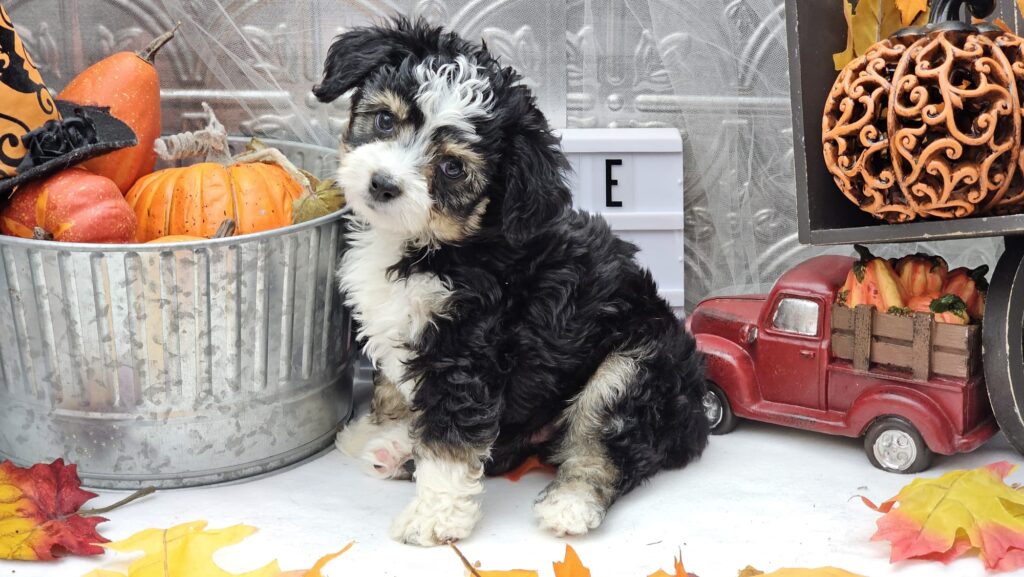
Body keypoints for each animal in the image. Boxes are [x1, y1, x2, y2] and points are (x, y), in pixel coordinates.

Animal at [315, 16, 708, 545]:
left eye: (452, 168)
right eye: (384, 121)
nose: (382, 184)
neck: (436, 244)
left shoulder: (467, 348)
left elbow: (452, 436)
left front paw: (435, 516)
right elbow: (394, 386)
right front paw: (378, 425)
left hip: (634, 367)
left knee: (602, 444)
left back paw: (570, 504)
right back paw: (394, 447)